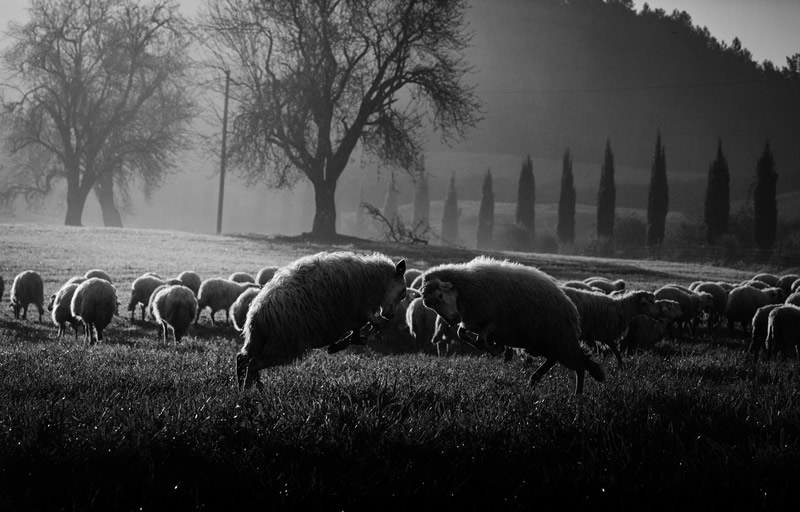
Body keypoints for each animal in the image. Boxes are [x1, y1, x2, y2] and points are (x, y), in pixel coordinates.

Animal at [233, 250, 406, 390]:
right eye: (403, 291)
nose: (390, 316)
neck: (375, 280)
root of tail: (258, 316)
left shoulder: (352, 315)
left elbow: (359, 329)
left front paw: (342, 343)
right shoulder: (359, 309)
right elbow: (370, 324)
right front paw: (345, 342)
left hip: (258, 340)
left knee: (242, 358)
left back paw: (244, 388)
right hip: (284, 344)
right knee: (253, 363)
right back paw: (252, 390)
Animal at [422, 256, 604, 396]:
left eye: (440, 295)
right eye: (430, 305)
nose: (452, 320)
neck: (464, 290)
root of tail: (571, 308)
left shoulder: (494, 320)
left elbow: (481, 338)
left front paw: (495, 348)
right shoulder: (473, 321)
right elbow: (462, 333)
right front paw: (493, 347)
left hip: (558, 339)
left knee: (579, 365)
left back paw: (577, 395)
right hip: (543, 343)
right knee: (556, 360)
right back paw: (534, 380)